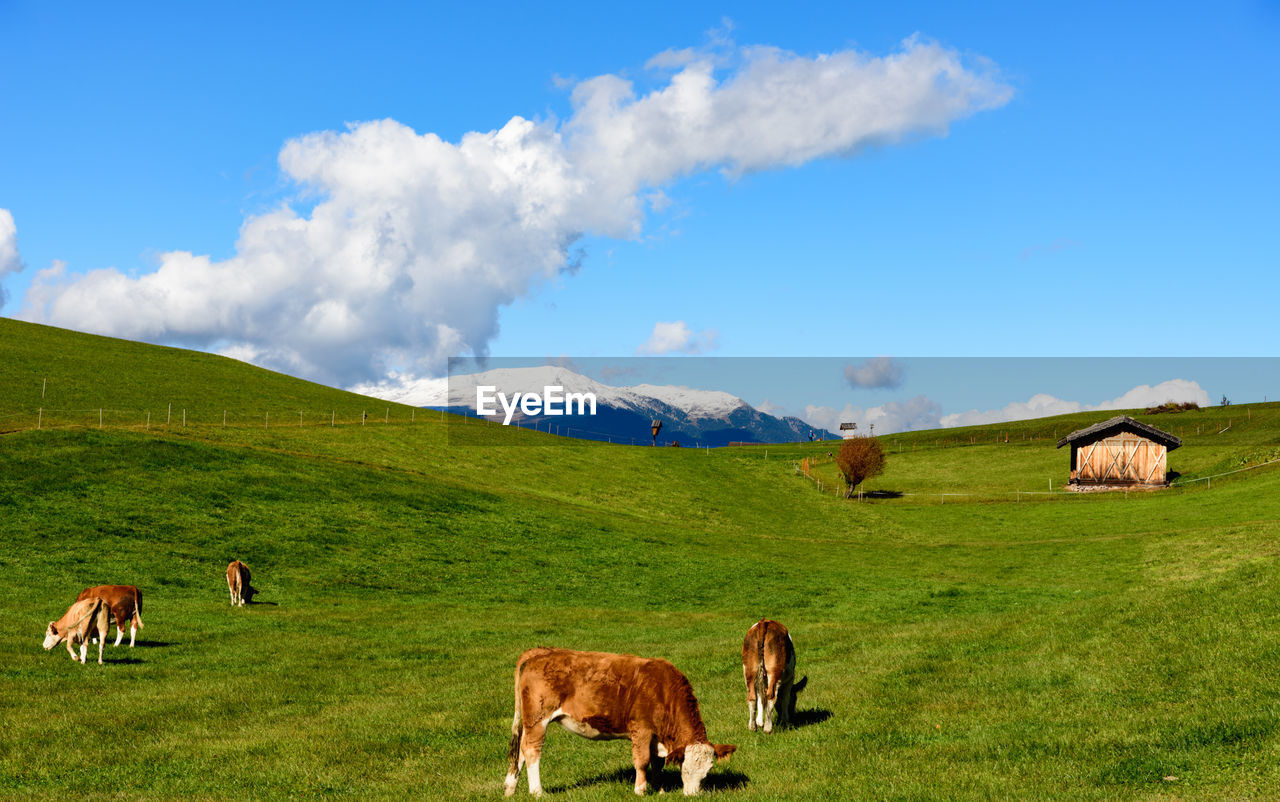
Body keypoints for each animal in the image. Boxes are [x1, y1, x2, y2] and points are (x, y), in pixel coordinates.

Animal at [504, 652, 737, 798]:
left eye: (707, 772)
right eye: (685, 770)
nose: (693, 795)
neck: (662, 690)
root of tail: (538, 653)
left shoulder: (657, 738)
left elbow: (657, 764)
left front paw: (659, 789)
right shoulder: (641, 730)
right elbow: (642, 761)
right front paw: (640, 790)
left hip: (529, 722)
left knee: (521, 751)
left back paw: (510, 789)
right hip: (538, 719)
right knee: (532, 751)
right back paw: (537, 792)